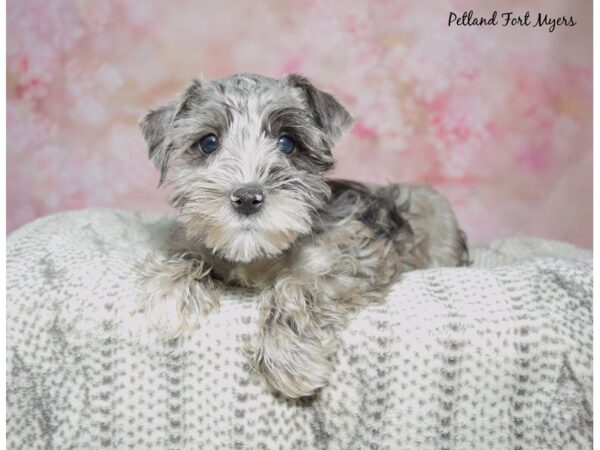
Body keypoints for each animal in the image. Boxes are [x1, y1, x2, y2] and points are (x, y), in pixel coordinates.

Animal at [137, 73, 468, 398]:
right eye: (208, 142)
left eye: (287, 143)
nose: (247, 198)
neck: (258, 255)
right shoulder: (197, 244)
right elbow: (185, 255)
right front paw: (170, 295)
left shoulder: (354, 255)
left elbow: (299, 285)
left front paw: (288, 356)